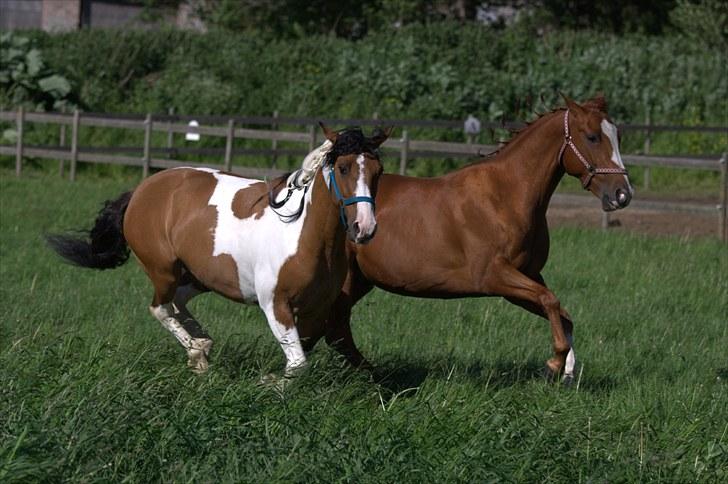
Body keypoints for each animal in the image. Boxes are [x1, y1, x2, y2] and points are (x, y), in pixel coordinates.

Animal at [47, 124, 392, 374]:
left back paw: (202, 346)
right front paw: (269, 385)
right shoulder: (275, 305)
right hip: (163, 270)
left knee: (177, 303)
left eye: (378, 171)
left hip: (200, 276)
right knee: (161, 308)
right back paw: (197, 352)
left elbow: (301, 357)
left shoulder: (316, 309)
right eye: (343, 168)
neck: (302, 233)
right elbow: (298, 364)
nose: (365, 227)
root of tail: (143, 189)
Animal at [312, 94, 632, 382]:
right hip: (346, 279)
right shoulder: (493, 276)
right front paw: (554, 364)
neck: (505, 196)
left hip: (359, 280)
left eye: (617, 136)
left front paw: (567, 372)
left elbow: (563, 315)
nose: (622, 194)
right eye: (592, 137)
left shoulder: (527, 275)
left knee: (332, 327)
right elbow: (551, 301)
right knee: (334, 328)